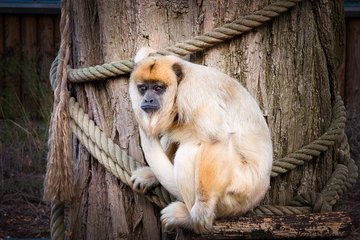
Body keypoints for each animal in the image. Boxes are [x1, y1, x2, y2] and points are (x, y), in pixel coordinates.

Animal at [128, 47, 272, 234]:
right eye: (143, 88)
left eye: (158, 88)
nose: (147, 99)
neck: (179, 84)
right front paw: (150, 175)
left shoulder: (193, 93)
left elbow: (216, 139)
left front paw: (202, 210)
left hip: (240, 189)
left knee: (188, 153)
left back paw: (188, 218)